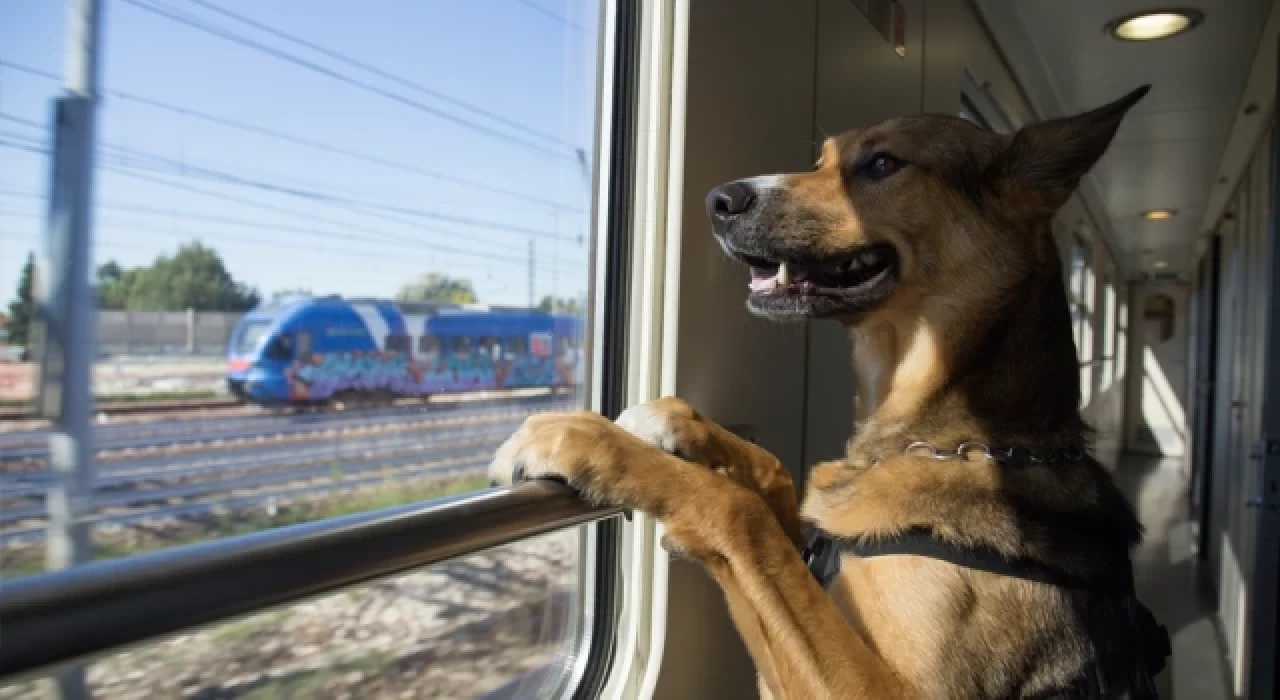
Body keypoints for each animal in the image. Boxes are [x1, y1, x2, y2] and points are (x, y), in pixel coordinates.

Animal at [486, 85, 1172, 696]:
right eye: (819, 162)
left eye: (882, 164)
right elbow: (771, 480)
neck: (960, 441)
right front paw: (674, 422)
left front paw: (585, 440)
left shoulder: (880, 692)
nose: (718, 200)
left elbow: (738, 510)